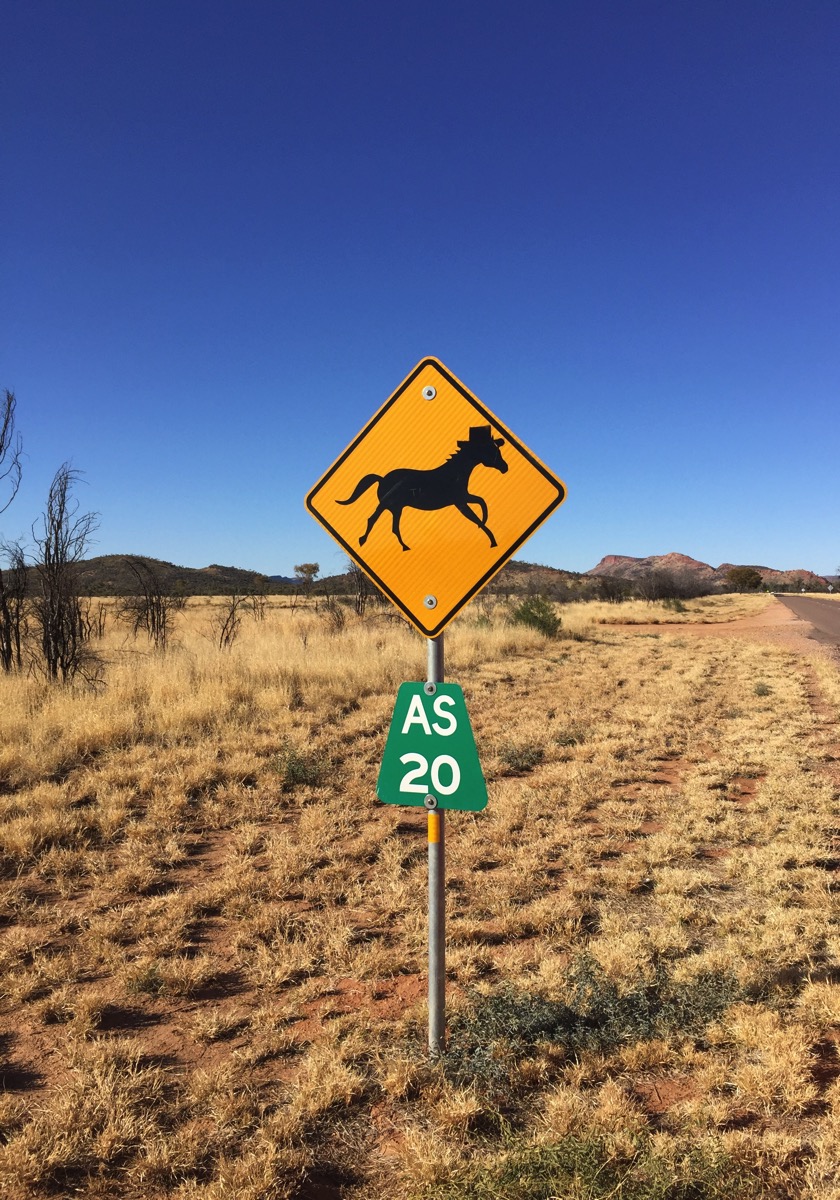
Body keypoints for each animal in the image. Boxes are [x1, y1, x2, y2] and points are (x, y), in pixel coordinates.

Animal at [337, 425, 508, 552]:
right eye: (492, 450)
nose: (505, 467)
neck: (455, 473)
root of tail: (382, 479)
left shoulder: (462, 498)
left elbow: (481, 502)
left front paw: (489, 533)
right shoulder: (460, 501)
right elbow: (478, 510)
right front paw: (491, 538)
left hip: (396, 508)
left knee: (394, 527)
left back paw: (404, 546)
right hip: (388, 505)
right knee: (373, 519)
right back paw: (363, 540)